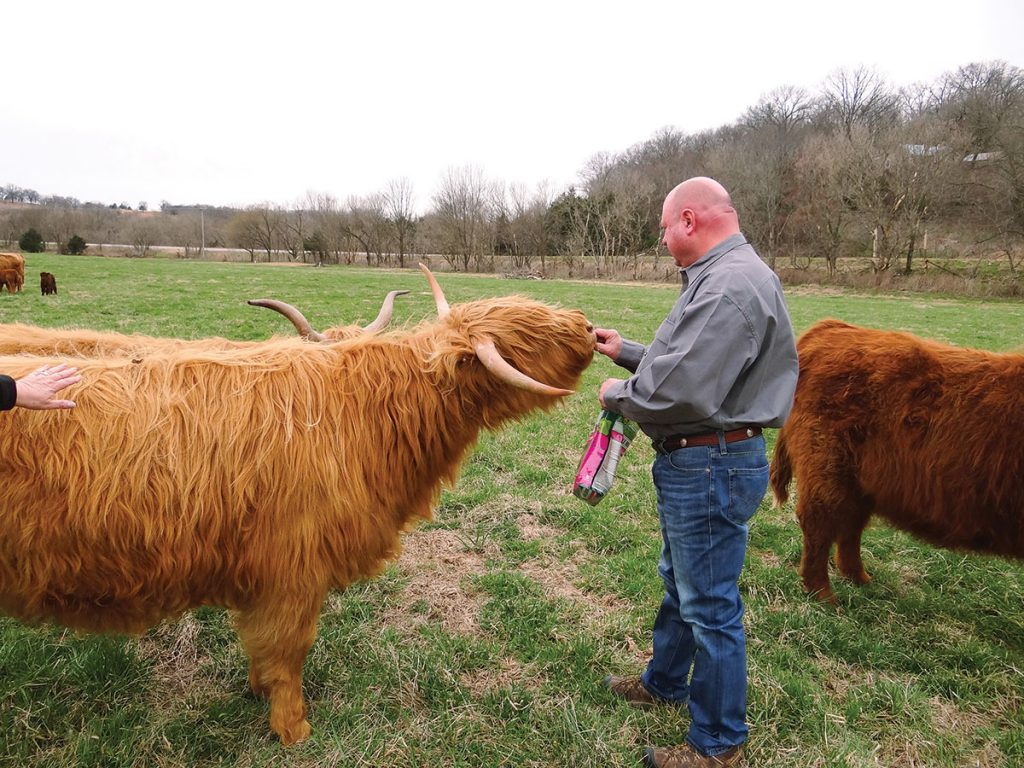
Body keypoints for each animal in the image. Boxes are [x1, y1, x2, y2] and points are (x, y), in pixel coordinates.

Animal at [770, 321, 1019, 606]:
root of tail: (831, 328)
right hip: (827, 470)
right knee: (819, 525)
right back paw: (823, 594)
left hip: (861, 482)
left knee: (850, 526)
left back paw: (859, 579)